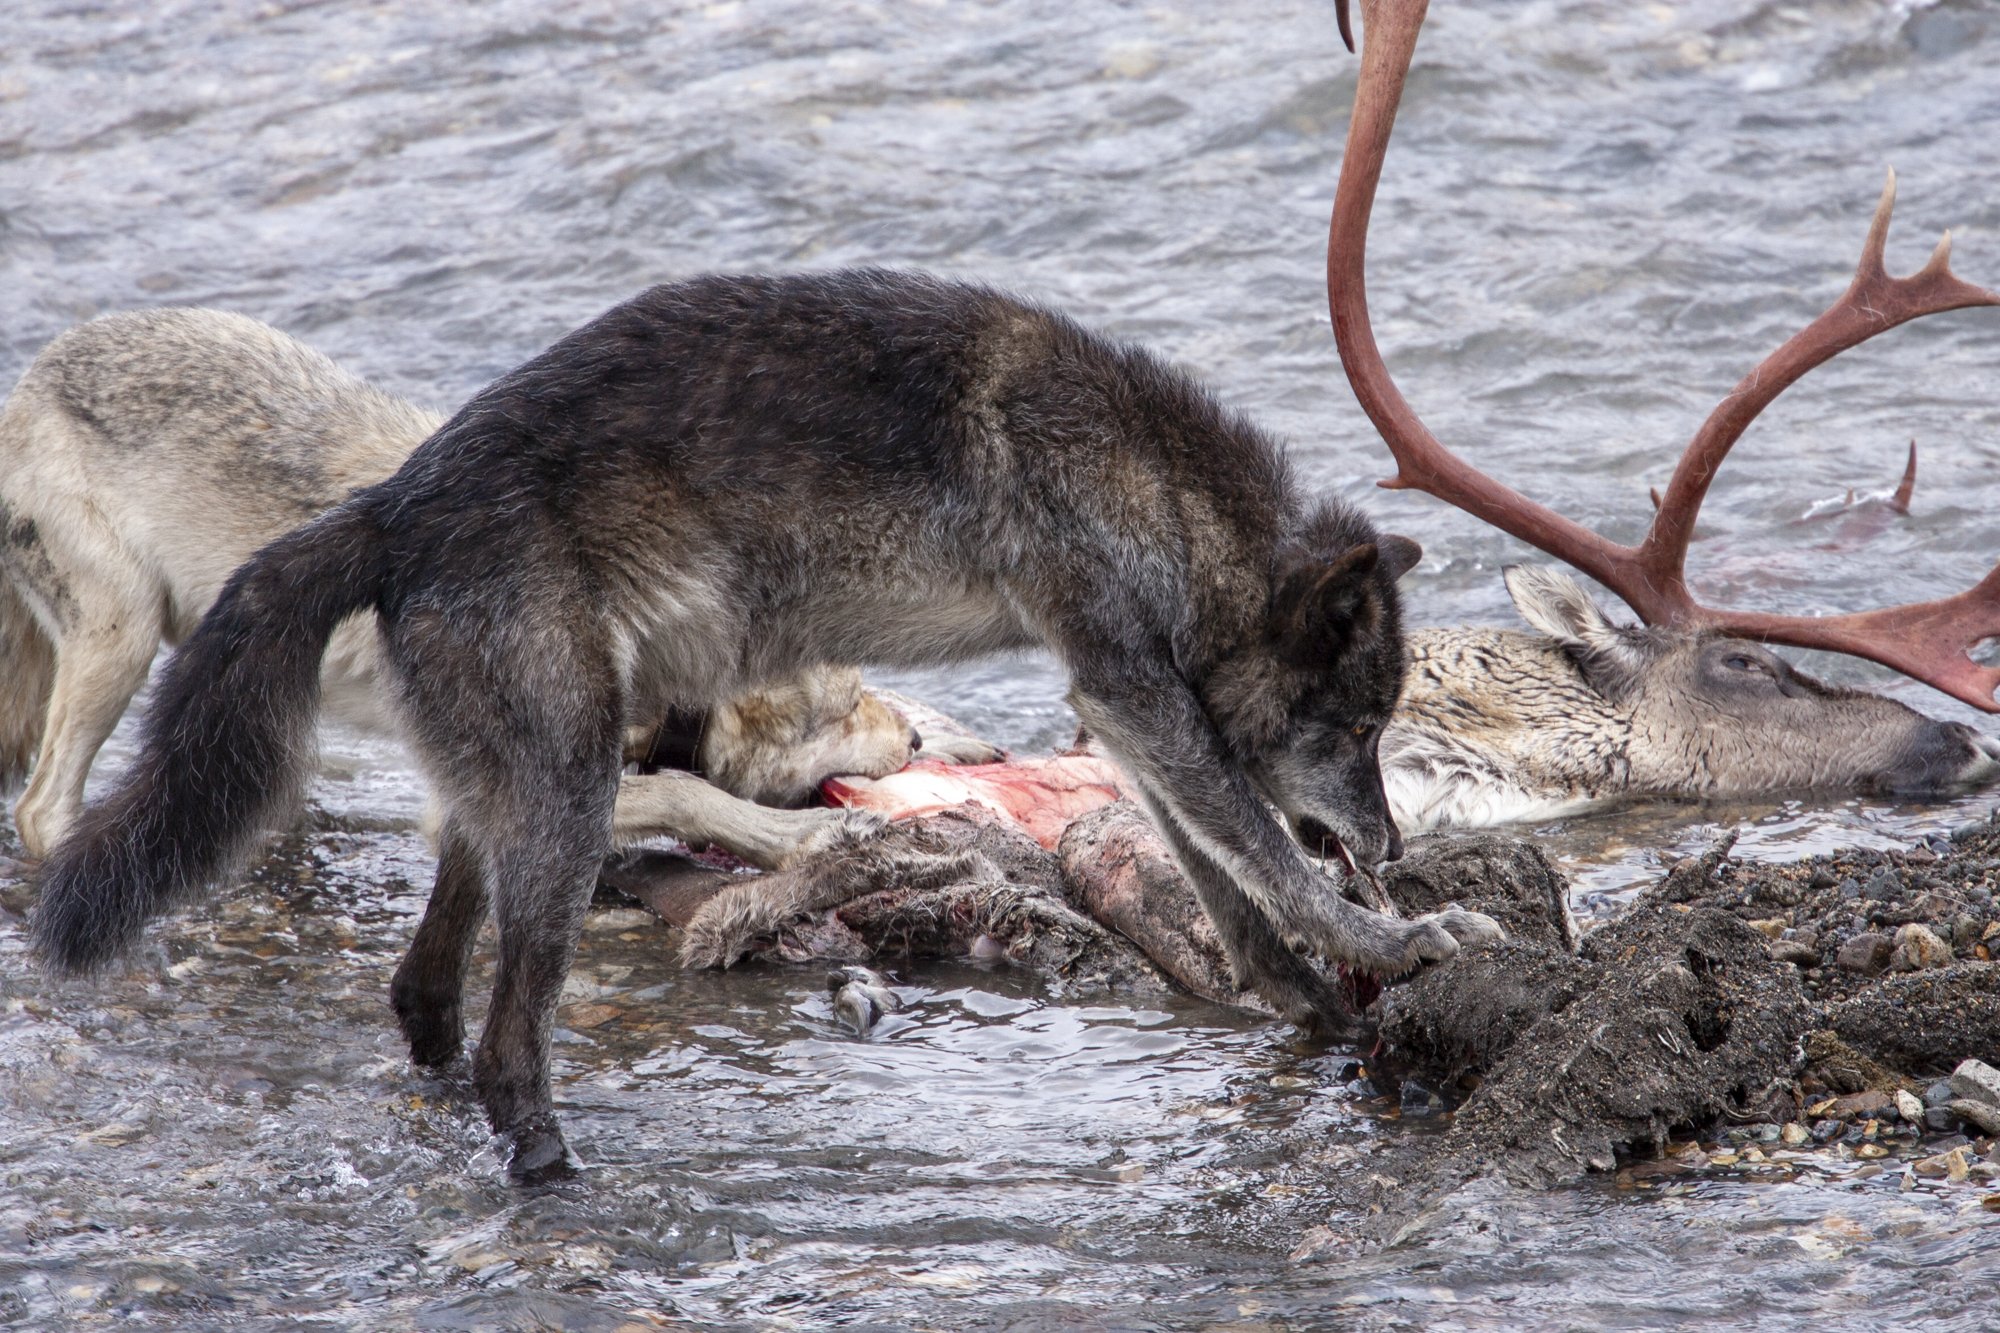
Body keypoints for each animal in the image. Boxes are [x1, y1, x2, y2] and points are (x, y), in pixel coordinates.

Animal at [31, 268, 1504, 1176]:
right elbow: (1266, 860)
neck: (1151, 482)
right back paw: (552, 1171)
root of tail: (389, 504)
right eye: (1361, 728)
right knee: (509, 1032)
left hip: (502, 784)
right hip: (573, 791)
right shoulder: (1127, 688)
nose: (1390, 844)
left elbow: (1237, 895)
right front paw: (1393, 937)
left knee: (423, 988)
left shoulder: (1128, 709)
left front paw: (1314, 1010)